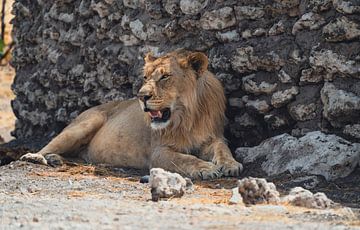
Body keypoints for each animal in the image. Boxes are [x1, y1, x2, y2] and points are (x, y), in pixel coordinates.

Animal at [21, 49, 243, 180]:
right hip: (87, 123)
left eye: (165, 76)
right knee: (47, 146)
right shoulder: (158, 152)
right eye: (145, 77)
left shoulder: (212, 137)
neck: (188, 118)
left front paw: (231, 165)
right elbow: (184, 159)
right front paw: (206, 168)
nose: (141, 96)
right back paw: (37, 157)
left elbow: (222, 148)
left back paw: (56, 160)